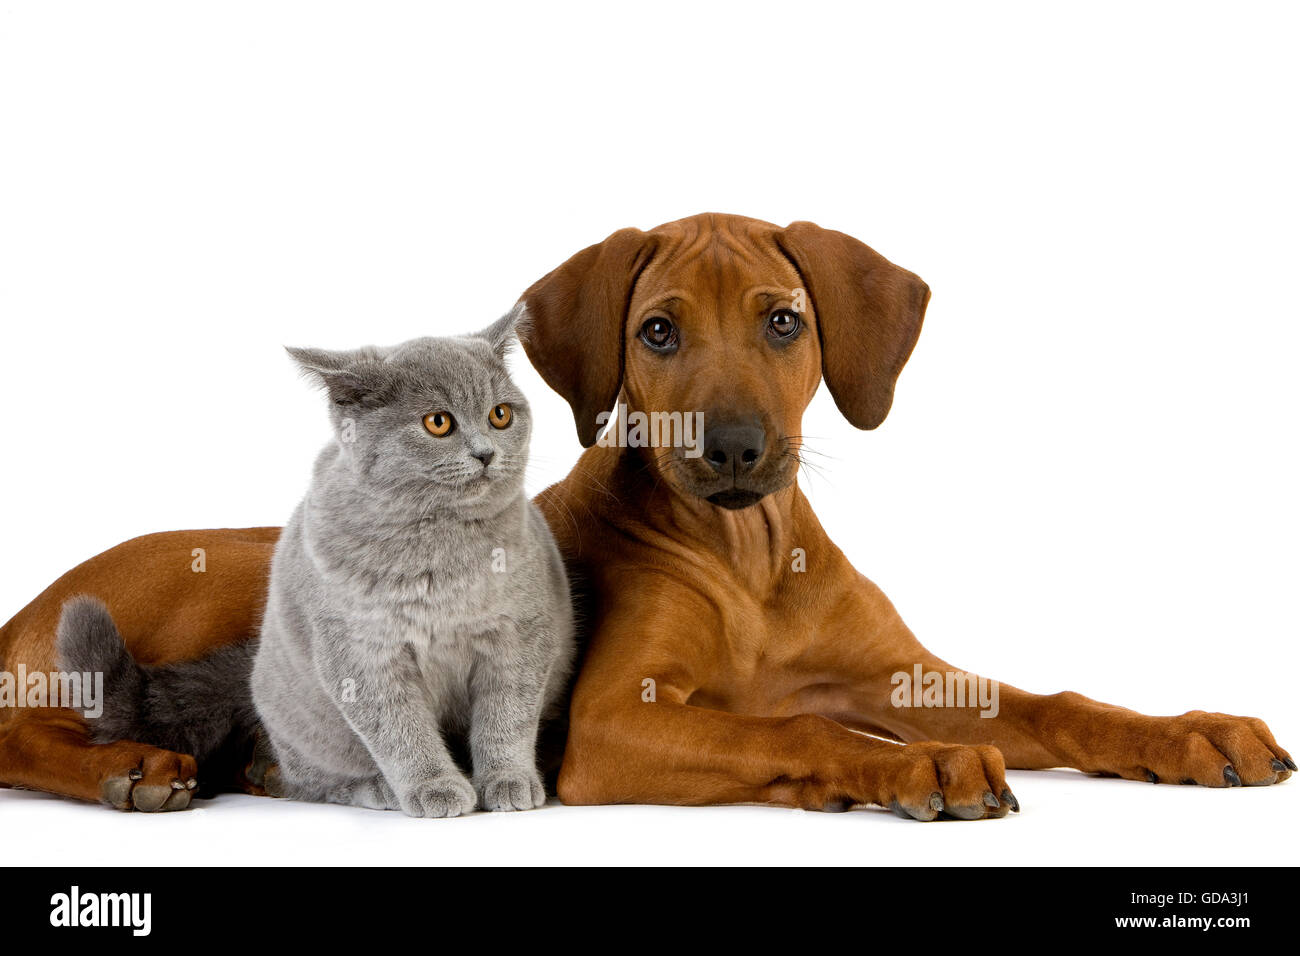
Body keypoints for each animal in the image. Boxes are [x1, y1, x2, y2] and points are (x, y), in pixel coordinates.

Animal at [249, 314, 574, 816]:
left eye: (500, 414)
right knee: (311, 783)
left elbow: (508, 716)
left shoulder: (521, 633)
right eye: (438, 422)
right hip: (300, 728)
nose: (486, 453)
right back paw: (376, 790)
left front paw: (509, 781)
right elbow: (399, 730)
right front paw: (435, 788)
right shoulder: (362, 653)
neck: (437, 546)